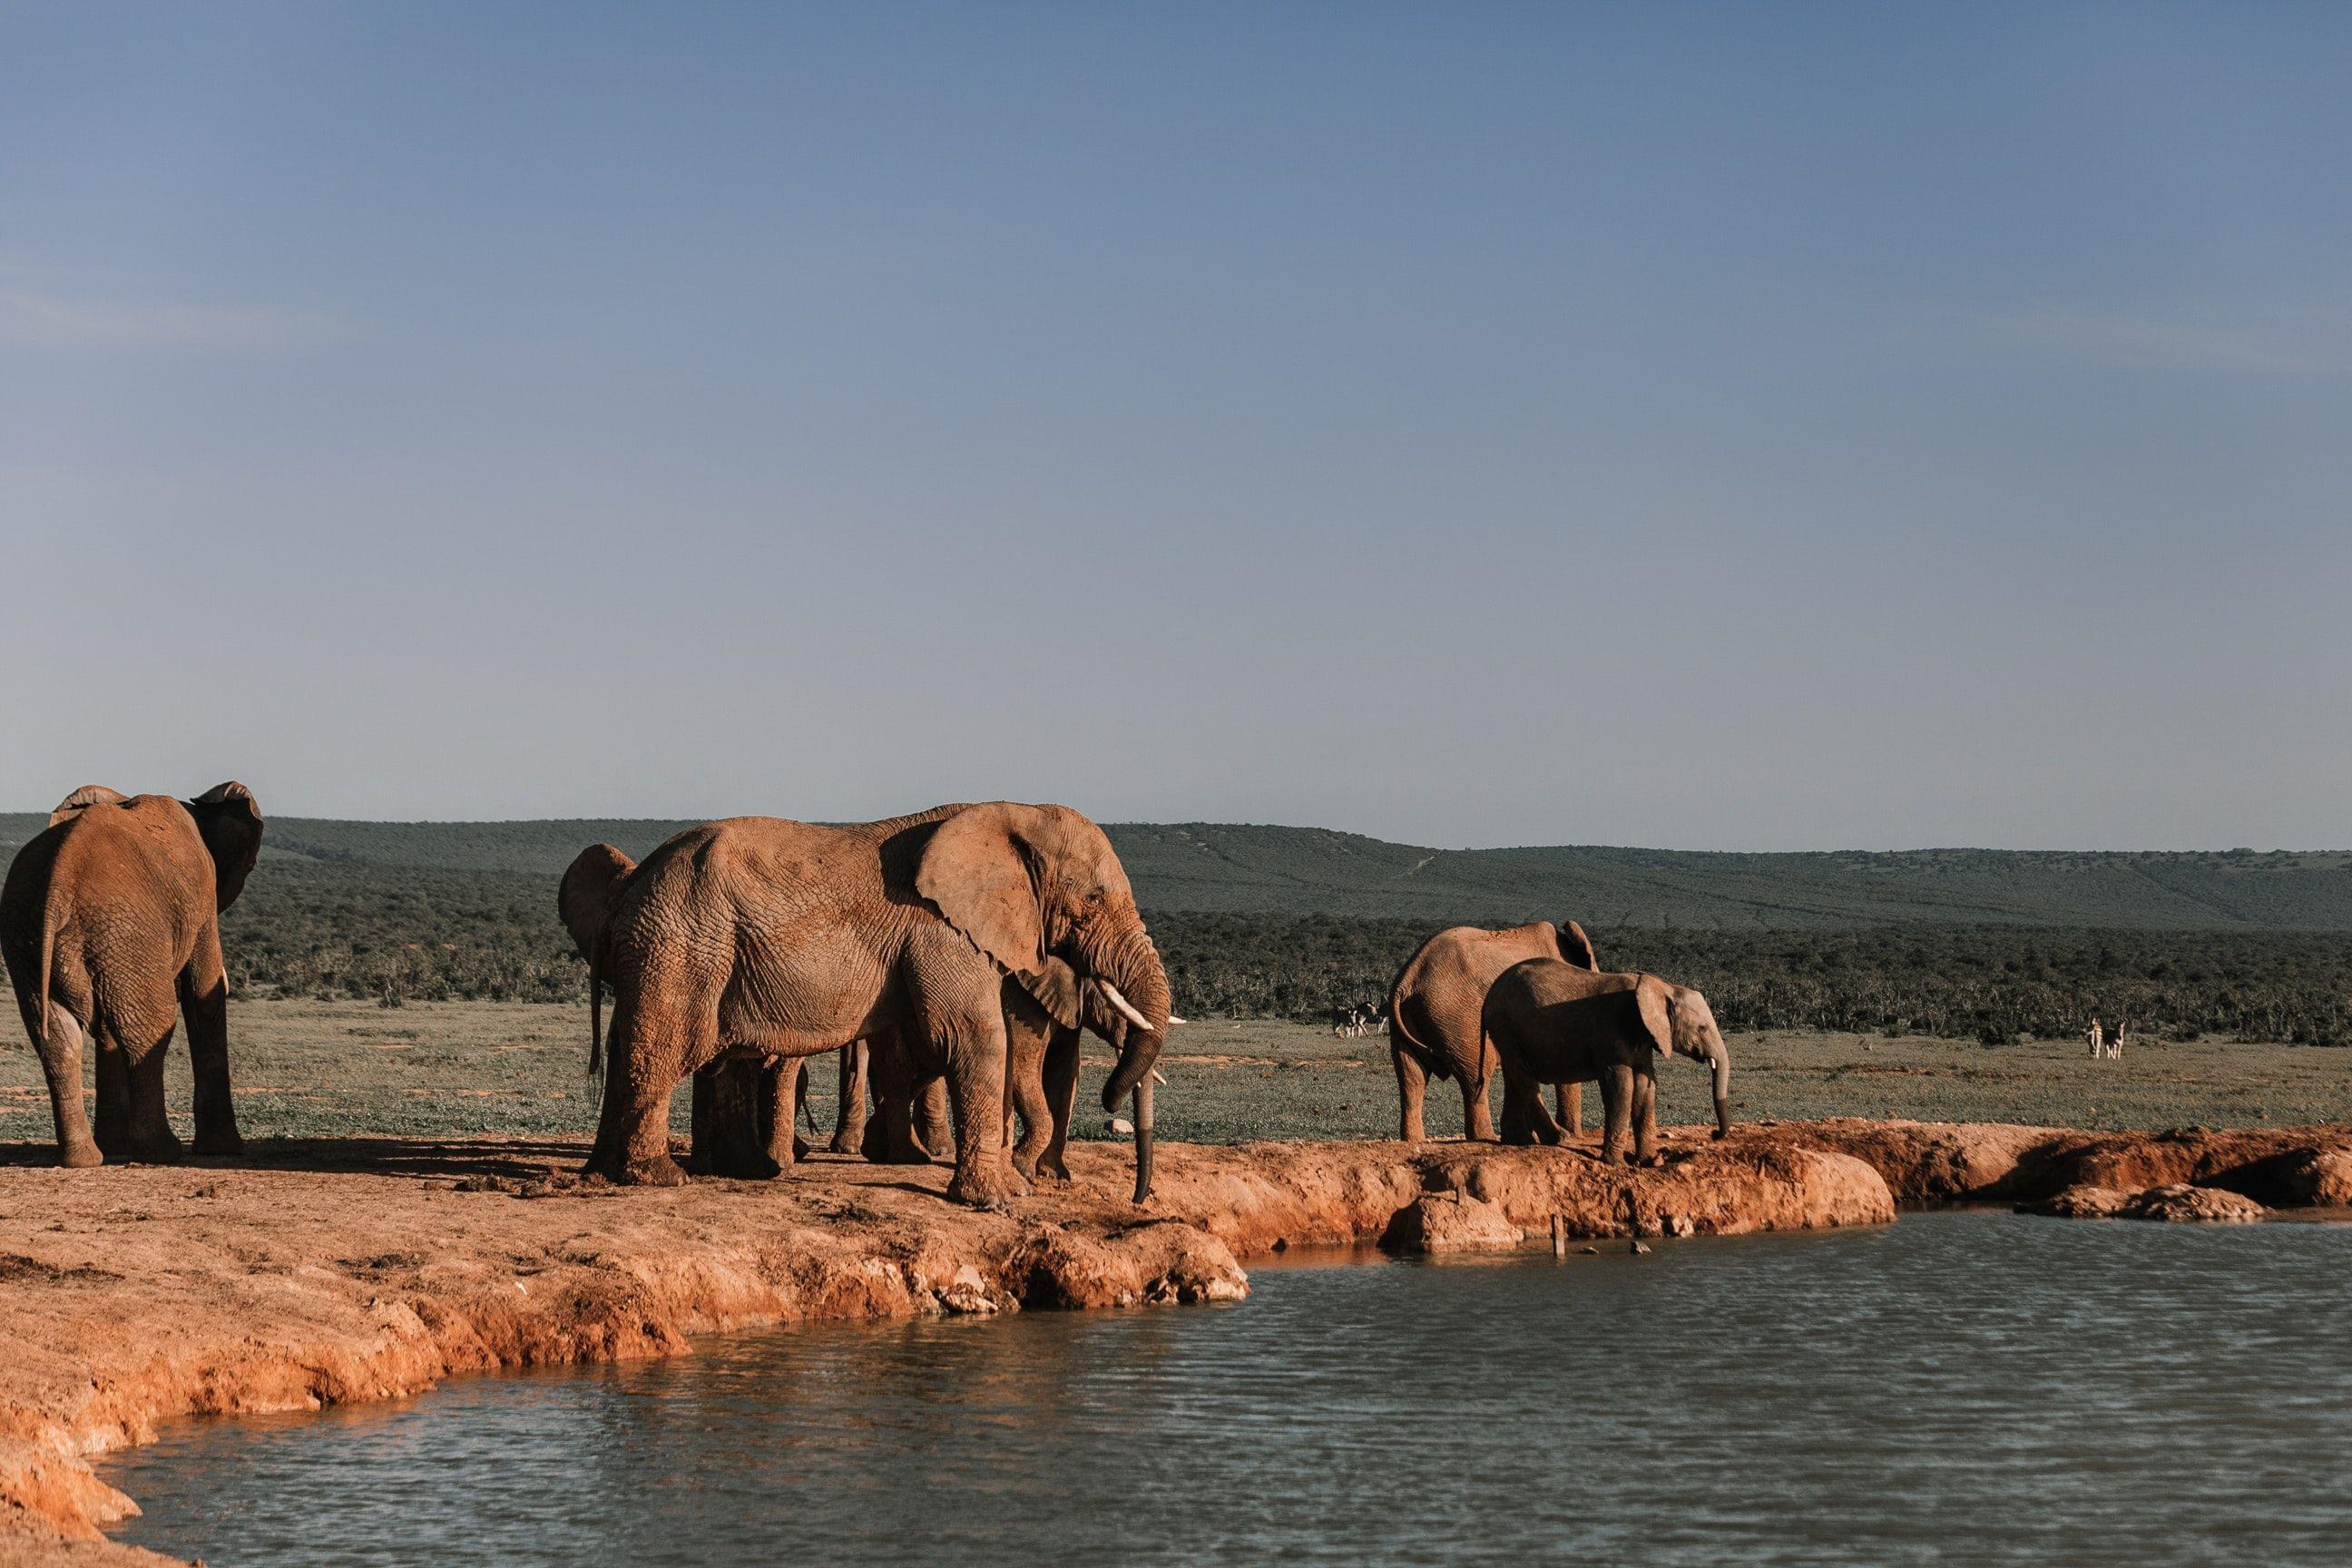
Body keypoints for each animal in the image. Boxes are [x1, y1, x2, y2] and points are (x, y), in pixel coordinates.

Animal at [0, 780, 267, 1165]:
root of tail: (59, 883)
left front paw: (116, 1147)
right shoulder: (202, 898)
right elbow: (203, 998)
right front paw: (224, 1150)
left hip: (39, 936)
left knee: (57, 1037)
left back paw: (85, 1159)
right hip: (123, 932)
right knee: (150, 1029)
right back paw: (163, 1151)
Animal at [1373, 921, 1599, 1142]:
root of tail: (1407, 981)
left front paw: (1521, 1138)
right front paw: (1571, 1137)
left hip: (1408, 1020)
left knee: (1412, 1077)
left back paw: (1415, 1140)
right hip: (1460, 1017)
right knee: (1476, 1076)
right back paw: (1485, 1137)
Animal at [1486, 959, 1730, 1165]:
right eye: (1702, 1028)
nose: (1715, 1134)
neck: (1662, 986)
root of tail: (1491, 992)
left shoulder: (1645, 1037)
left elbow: (1645, 1085)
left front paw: (1649, 1162)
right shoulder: (1612, 1032)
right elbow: (1621, 1086)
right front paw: (1617, 1164)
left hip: (1508, 1029)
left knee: (1514, 1076)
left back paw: (1519, 1141)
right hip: (1505, 1023)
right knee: (1524, 1079)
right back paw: (1561, 1139)